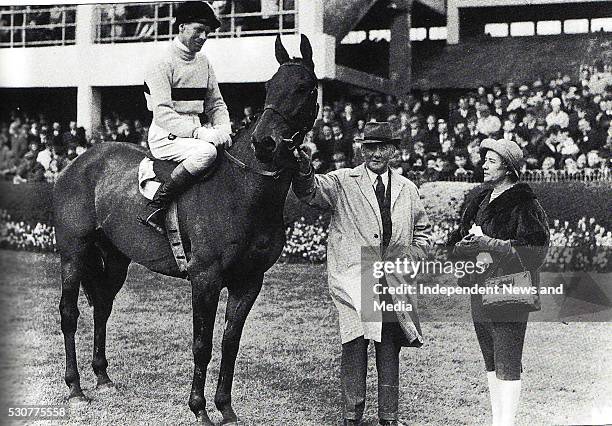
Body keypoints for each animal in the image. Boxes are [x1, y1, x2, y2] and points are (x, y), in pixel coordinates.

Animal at [54, 35, 318, 424]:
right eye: (269, 86)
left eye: (304, 87)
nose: (264, 142)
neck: (243, 189)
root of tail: (78, 162)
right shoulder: (205, 278)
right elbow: (202, 344)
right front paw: (199, 408)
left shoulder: (249, 281)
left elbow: (229, 343)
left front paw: (226, 408)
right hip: (73, 253)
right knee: (69, 314)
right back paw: (75, 388)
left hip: (114, 259)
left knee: (102, 306)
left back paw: (102, 378)